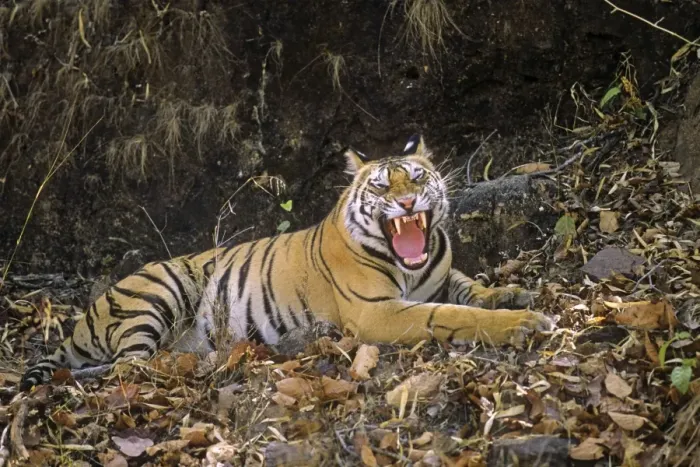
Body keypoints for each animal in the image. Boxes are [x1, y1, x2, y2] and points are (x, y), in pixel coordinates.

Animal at [20, 135, 553, 391]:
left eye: (418, 178)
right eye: (382, 186)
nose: (406, 203)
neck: (412, 263)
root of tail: (83, 318)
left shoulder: (440, 275)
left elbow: (470, 290)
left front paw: (511, 293)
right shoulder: (377, 311)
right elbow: (451, 314)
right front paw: (522, 322)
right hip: (159, 291)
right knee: (132, 366)